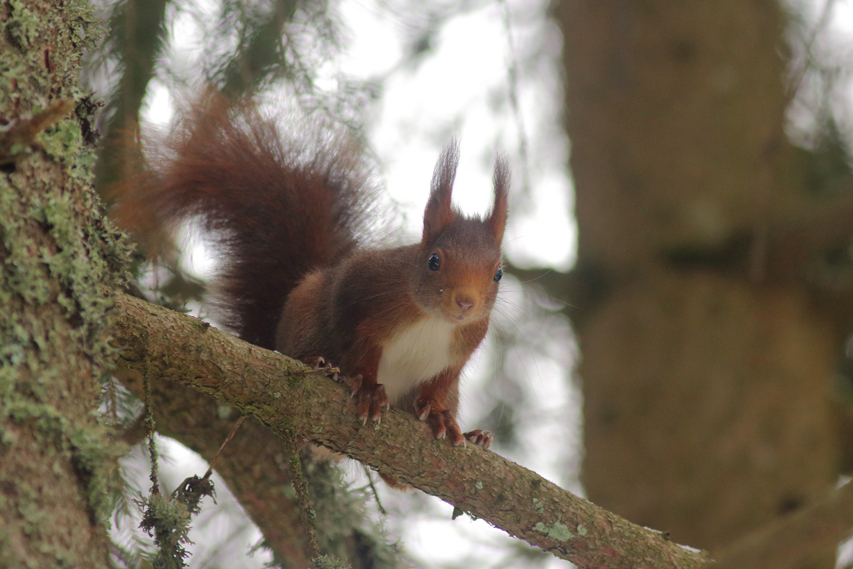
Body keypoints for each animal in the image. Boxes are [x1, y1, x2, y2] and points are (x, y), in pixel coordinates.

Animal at [141, 97, 506, 450]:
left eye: (498, 273)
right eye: (433, 261)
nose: (465, 303)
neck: (434, 320)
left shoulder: (461, 350)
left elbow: (439, 384)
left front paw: (439, 413)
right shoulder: (363, 291)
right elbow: (355, 339)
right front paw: (369, 387)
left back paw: (476, 436)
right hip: (305, 311)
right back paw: (316, 363)